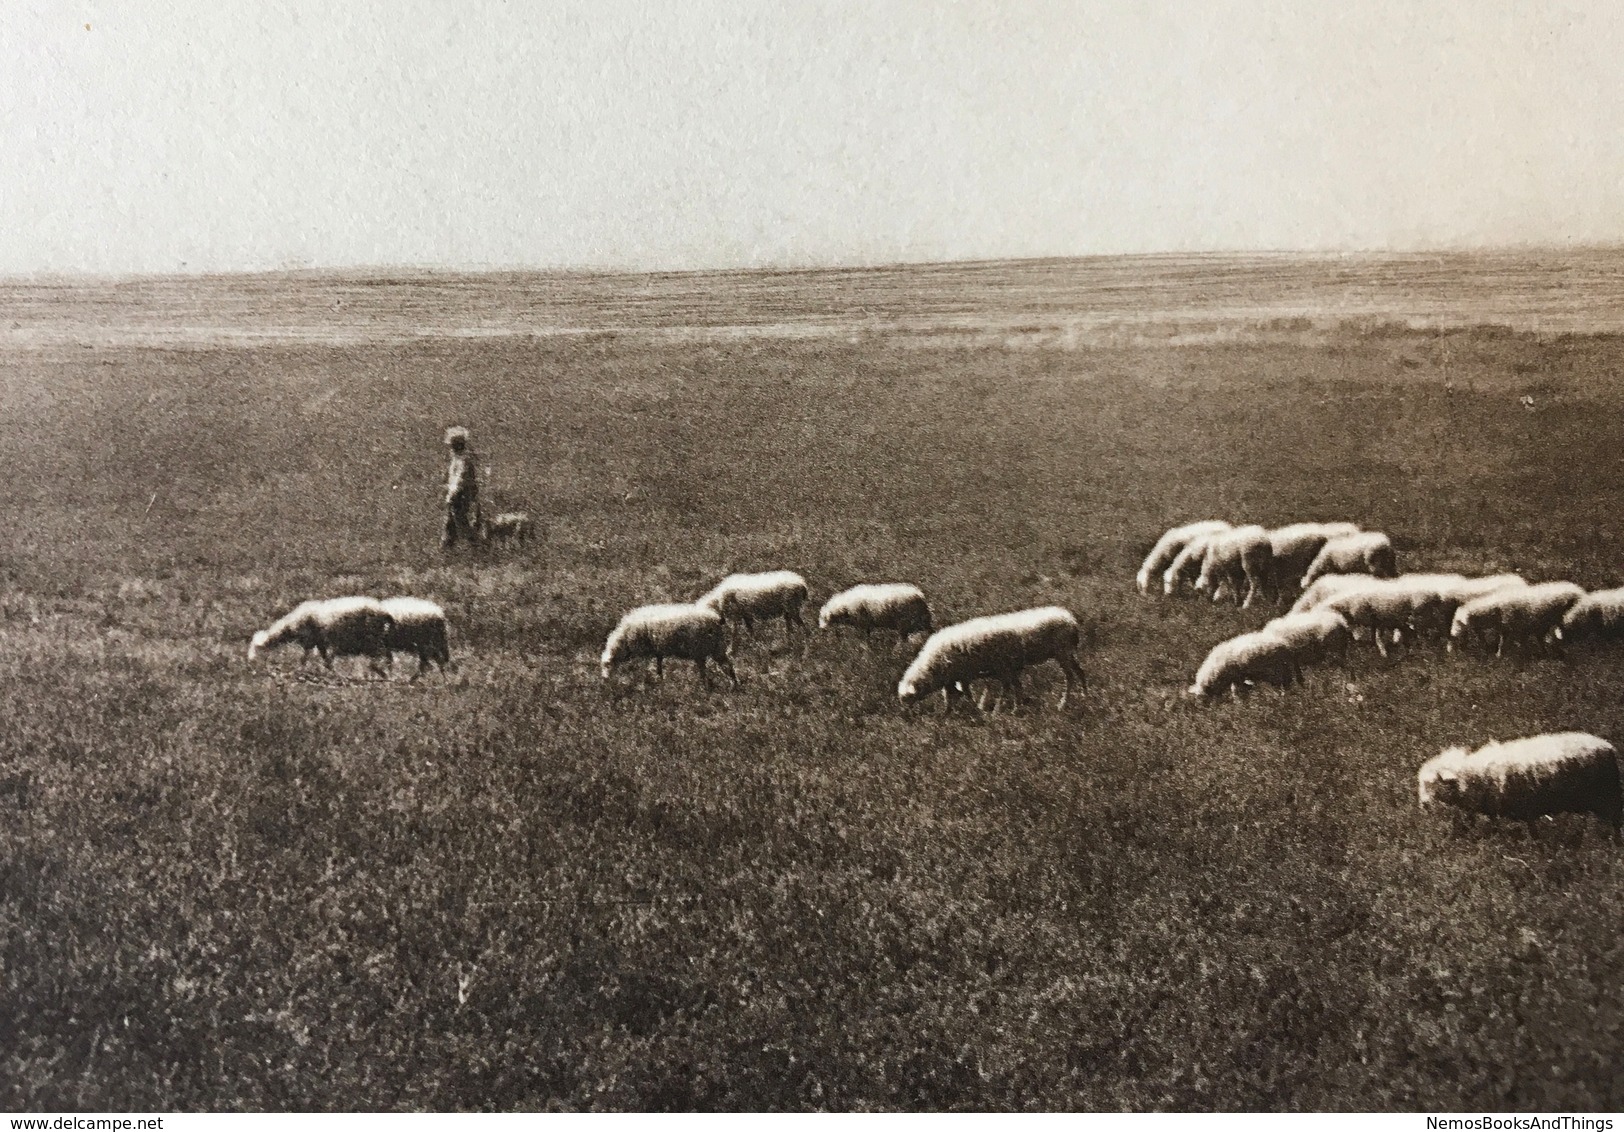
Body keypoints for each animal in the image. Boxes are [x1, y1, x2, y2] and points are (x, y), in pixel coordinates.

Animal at [248, 597, 397, 675]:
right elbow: (323, 657)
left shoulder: (310, 640)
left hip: (372, 636)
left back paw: (384, 672)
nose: (250, 663)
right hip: (376, 637)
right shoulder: (318, 641)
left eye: (254, 649)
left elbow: (305, 657)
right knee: (387, 654)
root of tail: (383, 612)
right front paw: (329, 670)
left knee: (384, 655)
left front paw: (301, 670)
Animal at [600, 600, 740, 688]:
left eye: (606, 666)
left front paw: (647, 681)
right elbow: (659, 665)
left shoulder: (644, 651)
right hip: (715, 646)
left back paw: (707, 686)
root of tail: (715, 619)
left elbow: (645, 667)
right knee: (726, 665)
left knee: (708, 669)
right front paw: (660, 680)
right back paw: (733, 684)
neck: (624, 640)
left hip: (701, 647)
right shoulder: (657, 650)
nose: (604, 680)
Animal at [902, 604, 1091, 711]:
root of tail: (1071, 620)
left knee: (1070, 676)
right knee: (1080, 672)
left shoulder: (973, 672)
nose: (909, 715)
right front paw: (950, 712)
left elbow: (967, 693)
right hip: (1067, 653)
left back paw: (1063, 704)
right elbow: (953, 695)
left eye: (907, 699)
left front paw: (981, 709)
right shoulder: (961, 676)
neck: (933, 664)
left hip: (1062, 652)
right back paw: (1084, 696)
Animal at [1416, 727, 1617, 831]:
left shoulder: (1524, 806)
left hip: (1607, 798)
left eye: (1433, 783)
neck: (1474, 775)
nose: (1423, 805)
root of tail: (1608, 746)